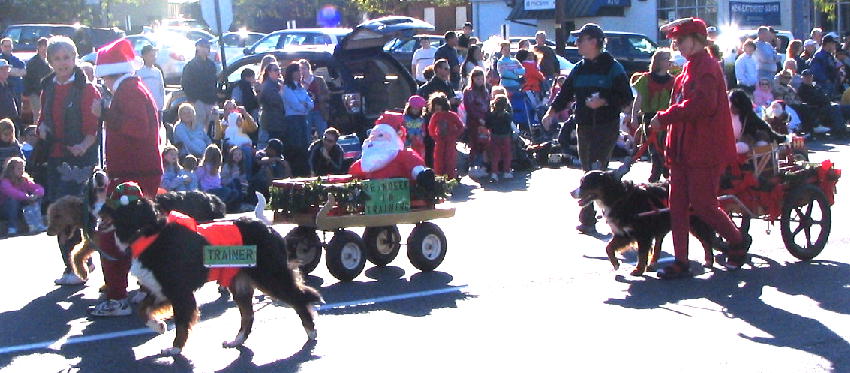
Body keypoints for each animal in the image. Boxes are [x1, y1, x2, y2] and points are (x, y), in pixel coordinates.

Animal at [568, 170, 716, 274]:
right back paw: (652, 264)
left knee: (706, 241)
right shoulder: (624, 232)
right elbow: (608, 247)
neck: (619, 198)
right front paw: (616, 264)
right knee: (658, 245)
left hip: (694, 223)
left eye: (585, 183)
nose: (571, 192)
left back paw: (709, 261)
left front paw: (638, 270)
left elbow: (642, 253)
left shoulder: (643, 233)